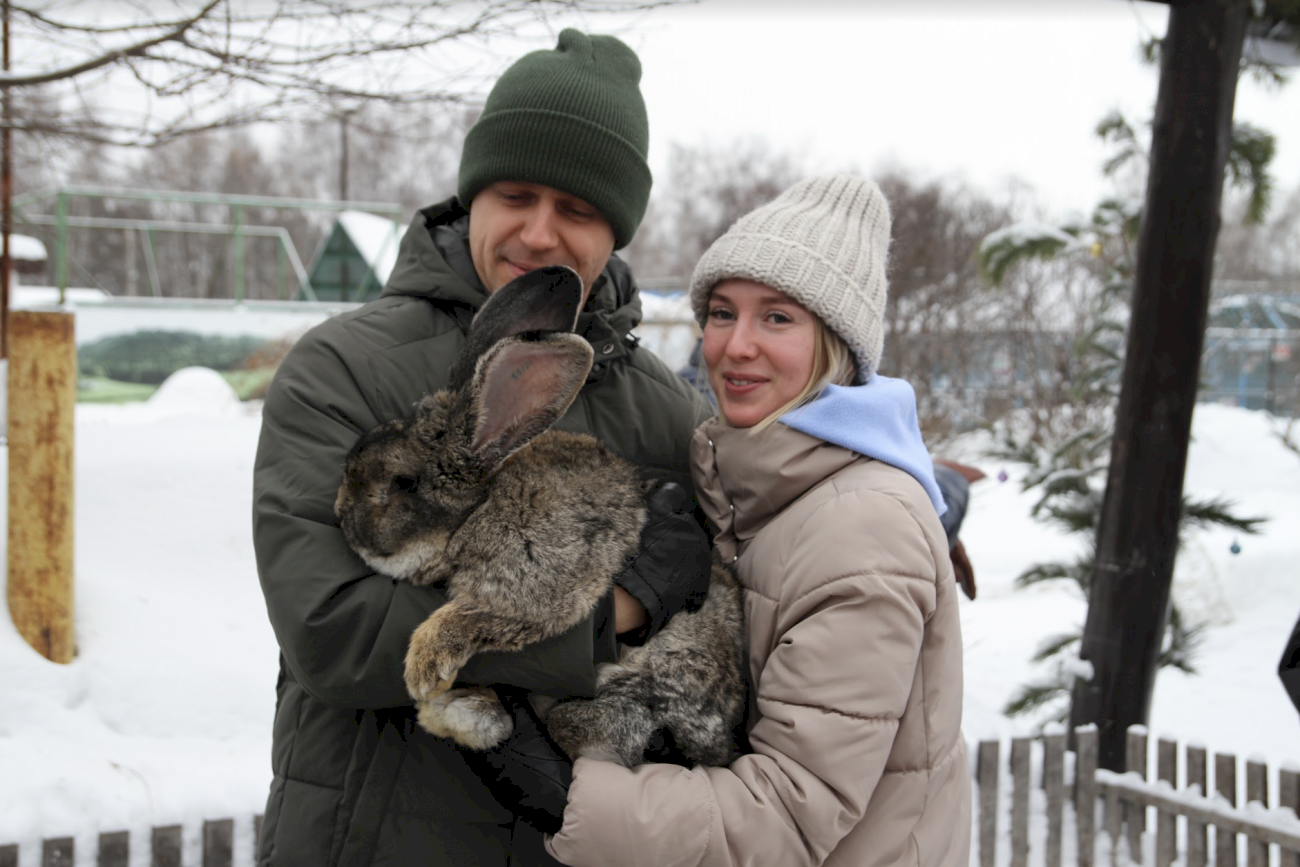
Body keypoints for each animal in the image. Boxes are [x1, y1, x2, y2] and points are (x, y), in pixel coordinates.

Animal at [334, 264, 747, 767]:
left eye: (403, 483)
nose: (340, 516)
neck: (477, 509)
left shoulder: (536, 582)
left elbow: (473, 616)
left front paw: (424, 670)